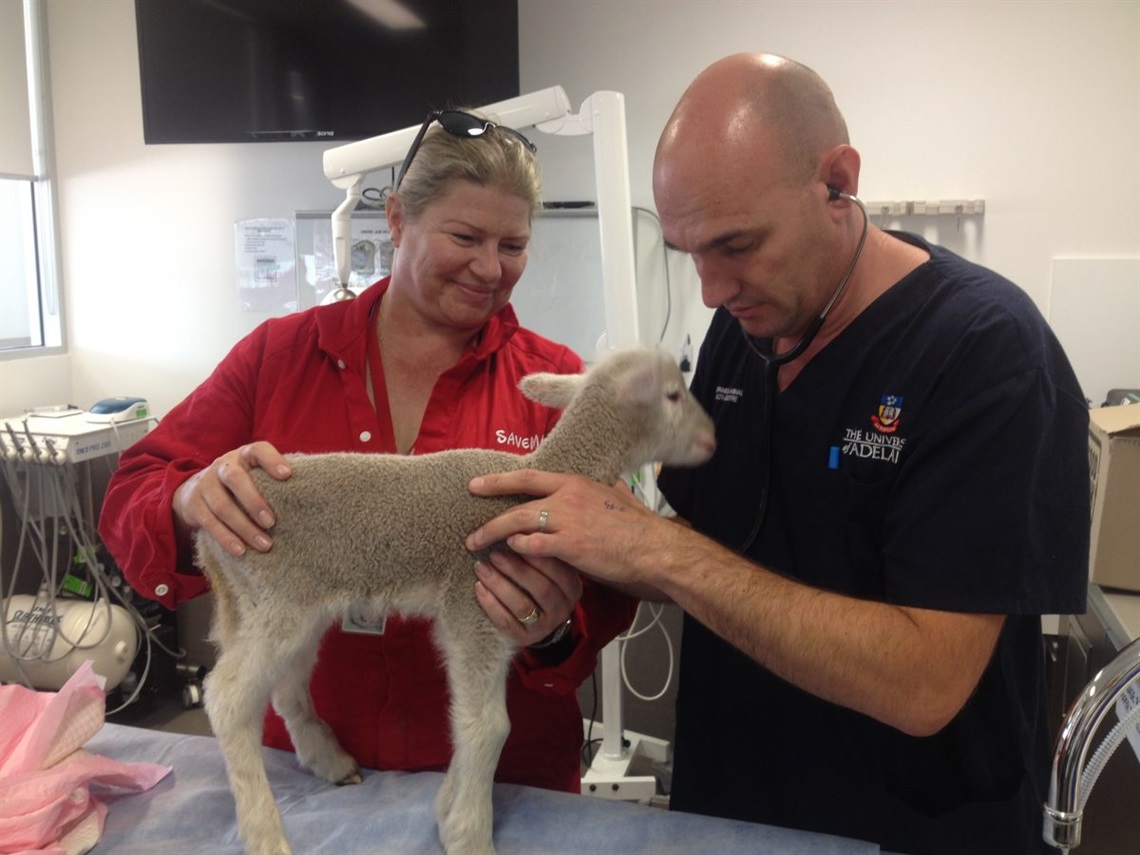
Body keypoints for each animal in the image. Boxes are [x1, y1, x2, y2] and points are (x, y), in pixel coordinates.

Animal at [196, 344, 711, 852]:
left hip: (286, 603)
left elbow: (471, 719)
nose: (712, 440)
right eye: (672, 395)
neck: (544, 475)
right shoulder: (473, 602)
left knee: (285, 688)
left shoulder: (485, 612)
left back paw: (331, 762)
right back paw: (266, 834)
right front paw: (469, 834)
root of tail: (207, 538)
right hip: (279, 595)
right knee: (227, 700)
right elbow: (488, 726)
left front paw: (447, 808)